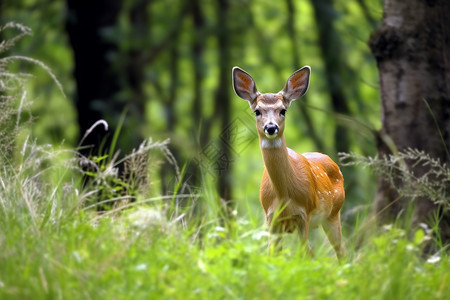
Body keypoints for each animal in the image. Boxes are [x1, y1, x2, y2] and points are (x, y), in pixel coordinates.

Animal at [232, 65, 344, 258]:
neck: (284, 196)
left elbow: (301, 255)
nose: (271, 127)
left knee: (341, 252)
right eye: (257, 111)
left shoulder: (304, 215)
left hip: (334, 212)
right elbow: (273, 255)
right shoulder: (271, 218)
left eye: (283, 110)